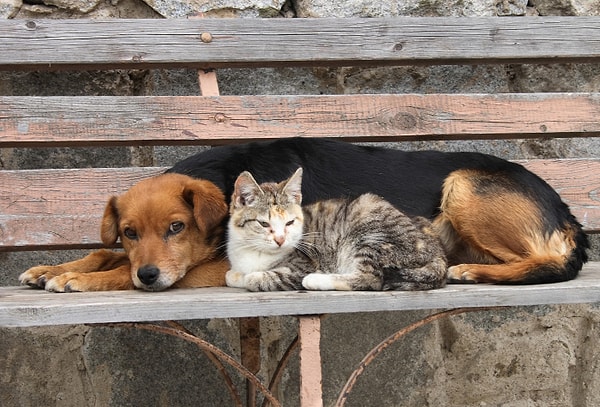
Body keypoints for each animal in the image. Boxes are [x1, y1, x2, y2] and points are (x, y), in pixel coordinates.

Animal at [19, 174, 229, 292]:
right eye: (129, 232)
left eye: (176, 226)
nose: (147, 275)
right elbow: (104, 254)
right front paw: (48, 270)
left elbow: (125, 271)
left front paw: (77, 278)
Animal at [225, 167, 446, 292]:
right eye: (264, 224)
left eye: (290, 223)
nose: (280, 239)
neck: (254, 252)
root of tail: (438, 253)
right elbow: (231, 275)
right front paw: (237, 275)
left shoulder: (302, 265)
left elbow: (257, 278)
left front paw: (251, 277)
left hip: (372, 232)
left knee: (371, 278)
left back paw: (316, 280)